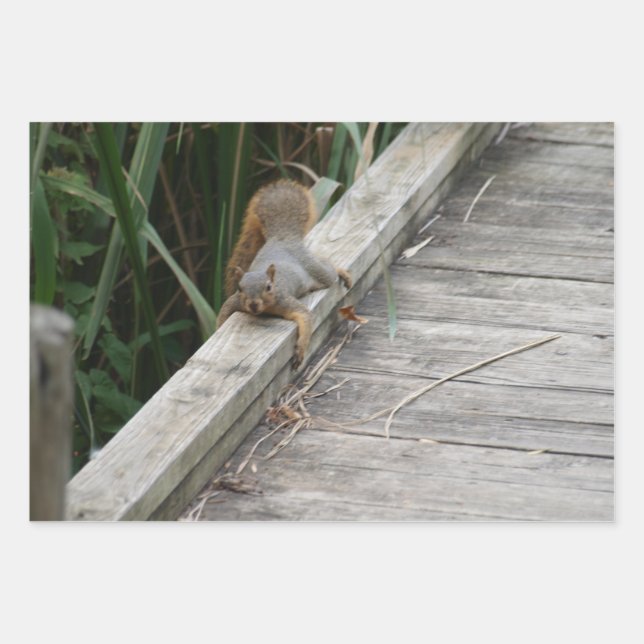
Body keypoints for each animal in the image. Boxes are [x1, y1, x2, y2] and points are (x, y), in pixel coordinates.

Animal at [216, 180, 352, 367]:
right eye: (240, 288)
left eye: (268, 287)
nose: (253, 304)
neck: (265, 309)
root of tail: (283, 237)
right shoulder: (236, 301)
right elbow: (225, 310)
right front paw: (219, 326)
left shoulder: (285, 301)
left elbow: (305, 316)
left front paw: (301, 348)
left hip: (318, 271)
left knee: (328, 268)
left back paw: (341, 272)